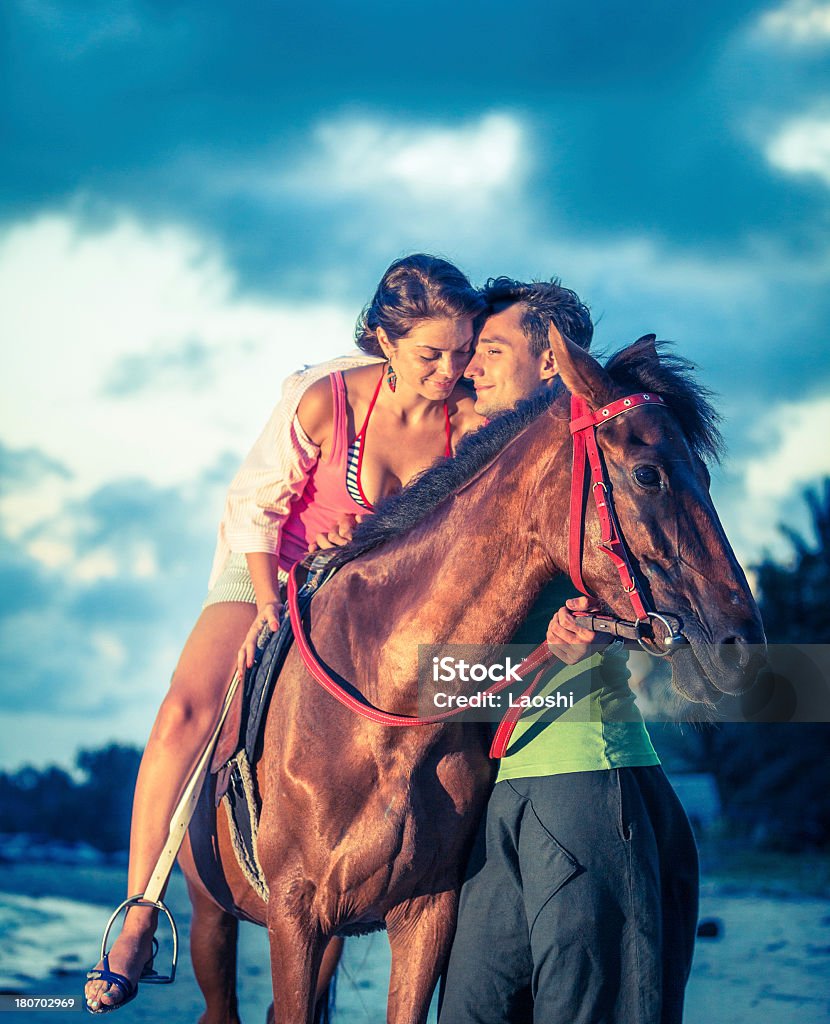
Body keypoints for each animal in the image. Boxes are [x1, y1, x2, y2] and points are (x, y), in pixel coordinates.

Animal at [180, 329, 765, 1024]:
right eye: (650, 474)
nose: (742, 644)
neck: (385, 710)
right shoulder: (294, 917)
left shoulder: (426, 913)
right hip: (214, 914)